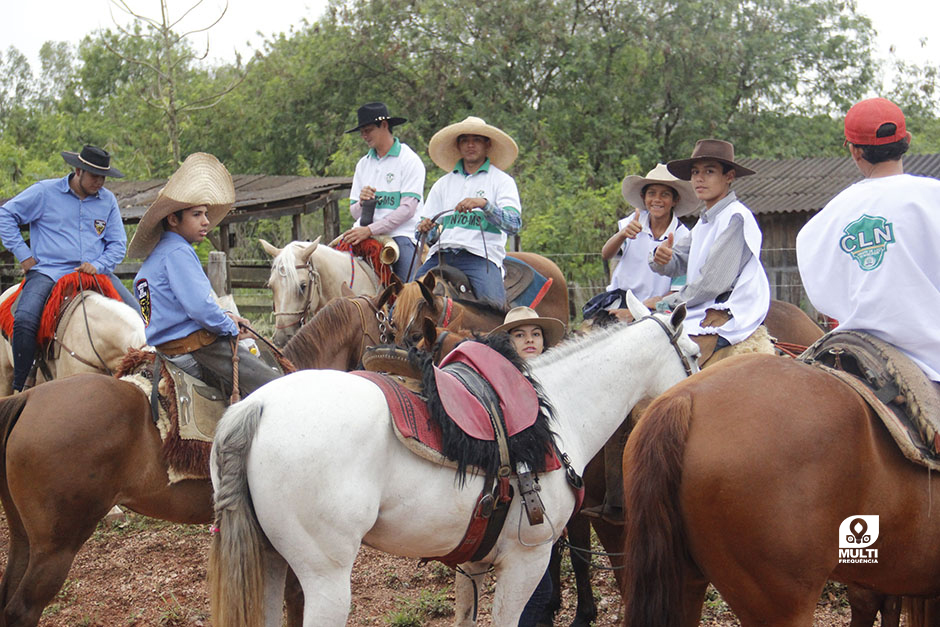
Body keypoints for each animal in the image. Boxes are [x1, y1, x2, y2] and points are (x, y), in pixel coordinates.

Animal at [209, 294, 696, 627]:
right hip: (324, 577)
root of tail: (257, 408)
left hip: (270, 562)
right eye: (691, 353)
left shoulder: (474, 562)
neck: (558, 413)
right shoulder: (527, 560)